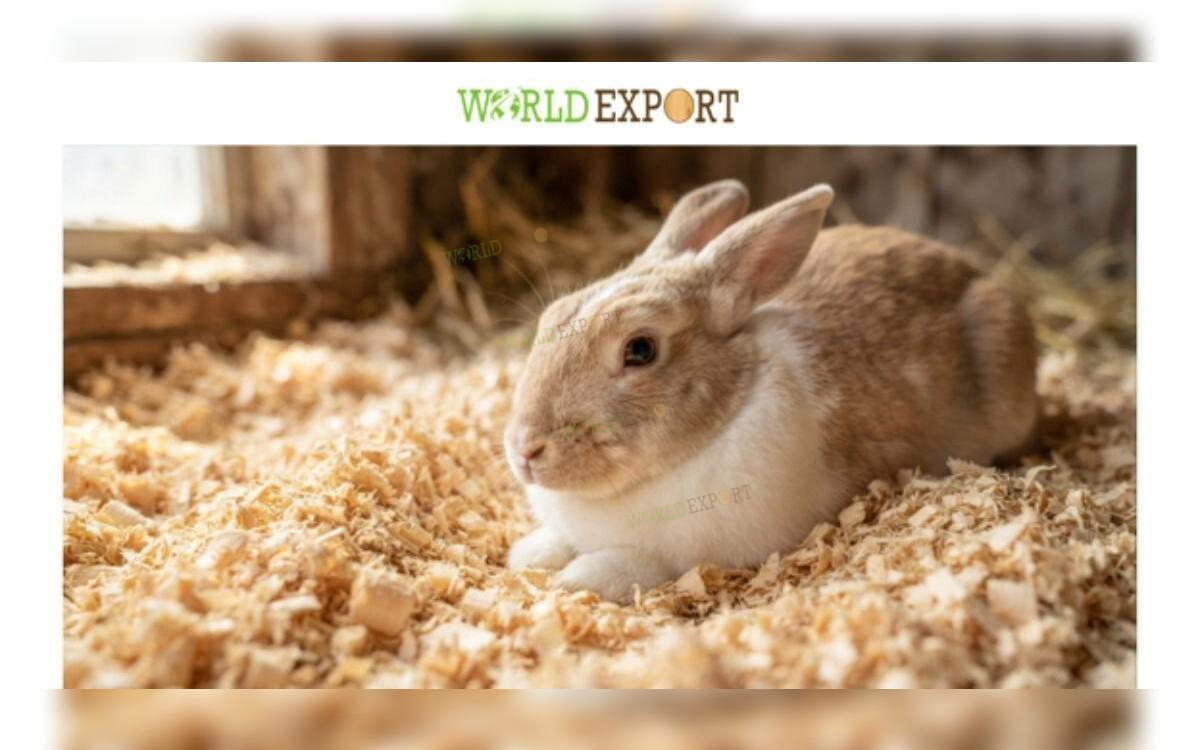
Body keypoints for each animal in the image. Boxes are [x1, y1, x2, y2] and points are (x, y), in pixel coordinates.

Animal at [503, 180, 1038, 602]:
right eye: (551, 318)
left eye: (640, 349)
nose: (525, 450)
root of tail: (978, 274)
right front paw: (527, 556)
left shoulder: (690, 554)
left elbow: (636, 564)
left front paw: (575, 581)